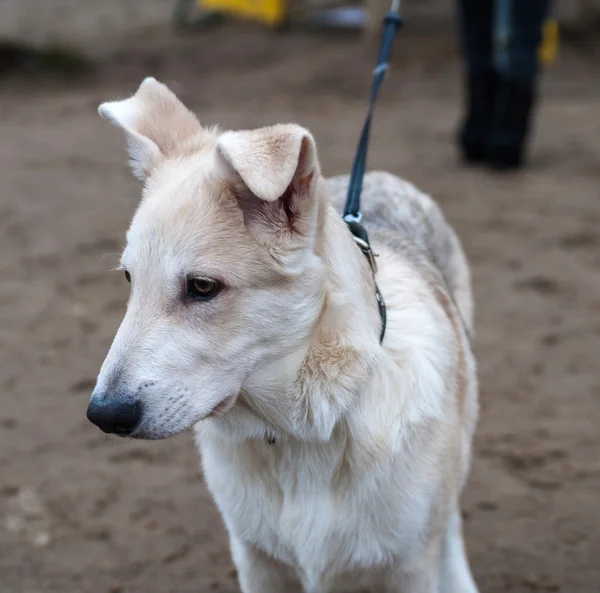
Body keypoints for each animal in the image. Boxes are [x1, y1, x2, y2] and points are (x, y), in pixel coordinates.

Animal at [89, 78, 480, 592]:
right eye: (130, 278)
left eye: (202, 287)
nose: (102, 415)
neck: (301, 432)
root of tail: (381, 177)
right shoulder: (256, 562)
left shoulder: (409, 568)